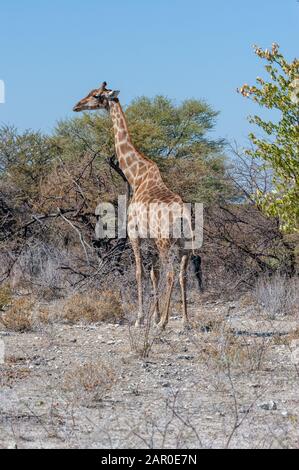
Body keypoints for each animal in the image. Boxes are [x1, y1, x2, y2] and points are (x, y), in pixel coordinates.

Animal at [74, 81, 198, 330]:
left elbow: (140, 272)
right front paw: (152, 316)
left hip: (164, 242)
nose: (77, 105)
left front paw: (142, 318)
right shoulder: (148, 239)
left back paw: (164, 323)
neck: (136, 176)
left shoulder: (134, 233)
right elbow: (153, 273)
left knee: (171, 274)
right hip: (184, 244)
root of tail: (182, 216)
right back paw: (185, 321)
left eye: (96, 95)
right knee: (182, 275)